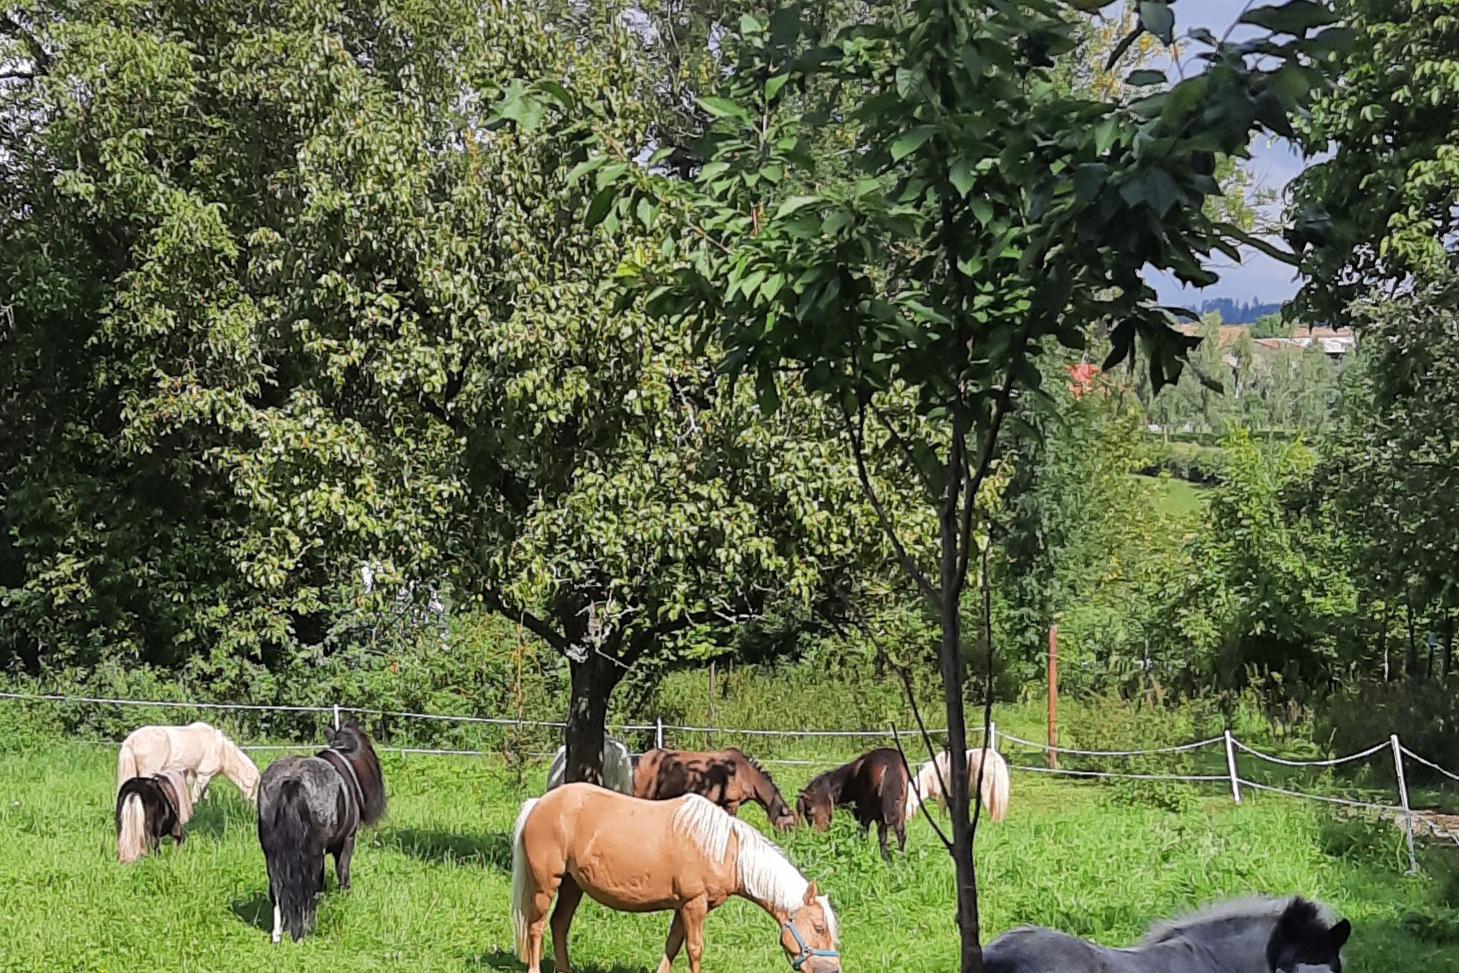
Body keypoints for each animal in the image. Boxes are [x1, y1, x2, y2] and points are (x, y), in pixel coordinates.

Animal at [117, 721, 261, 804]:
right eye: (256, 786)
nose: (255, 808)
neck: (221, 750)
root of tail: (130, 740)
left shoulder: (194, 773)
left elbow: (204, 794)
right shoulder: (204, 774)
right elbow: (195, 796)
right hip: (148, 771)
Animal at [256, 721, 386, 942]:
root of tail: (293, 780)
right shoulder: (347, 840)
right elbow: (342, 873)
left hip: (271, 852)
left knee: (277, 888)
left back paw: (278, 933)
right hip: (314, 852)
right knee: (309, 886)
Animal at [510, 783, 841, 973]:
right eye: (819, 927)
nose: (833, 970)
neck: (724, 849)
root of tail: (539, 803)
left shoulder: (683, 907)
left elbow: (672, 946)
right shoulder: (694, 905)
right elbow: (694, 949)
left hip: (571, 885)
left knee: (559, 925)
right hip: (546, 885)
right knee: (537, 927)